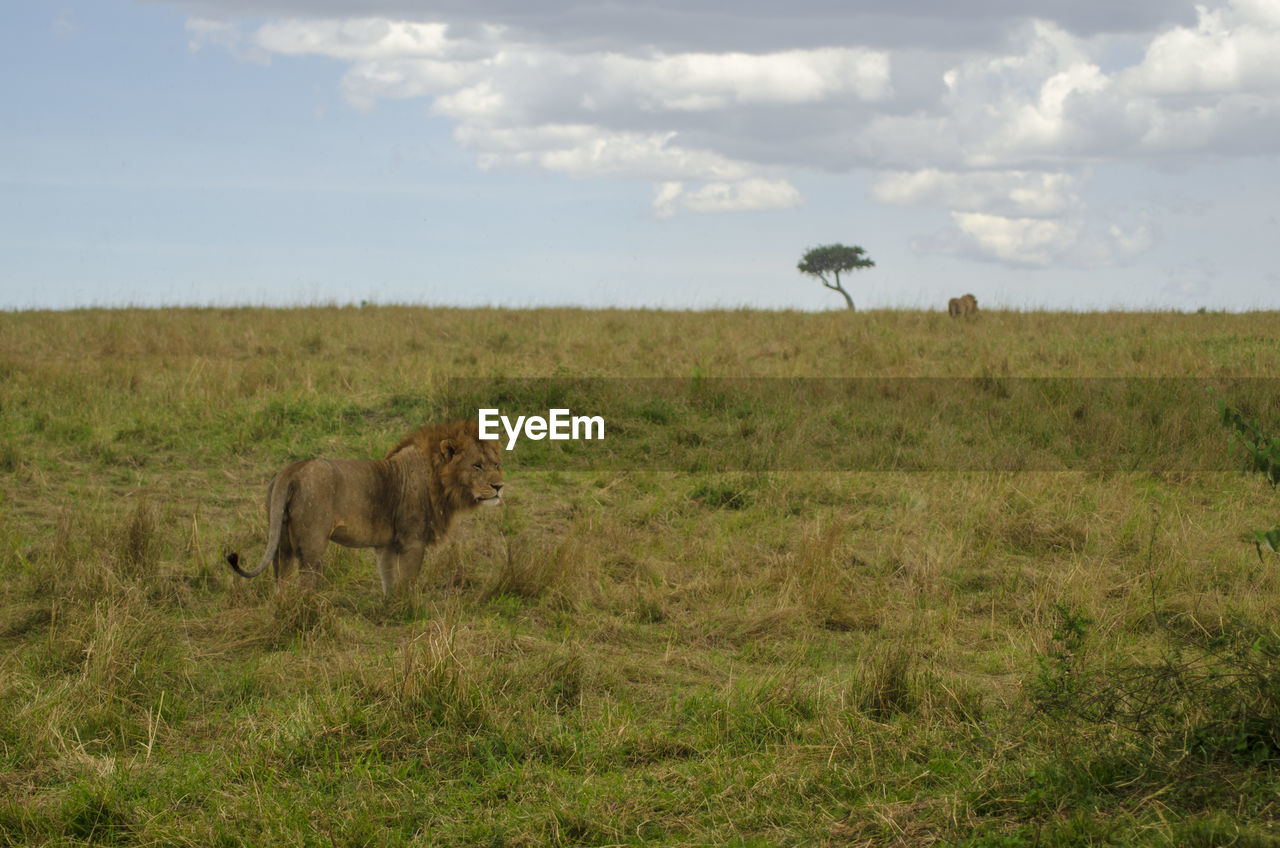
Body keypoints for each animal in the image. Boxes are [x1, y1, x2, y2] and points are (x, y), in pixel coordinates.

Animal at [225, 420, 504, 594]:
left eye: (496, 464)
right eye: (477, 466)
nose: (499, 486)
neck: (439, 480)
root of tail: (291, 470)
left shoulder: (387, 545)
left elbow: (389, 580)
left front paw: (392, 608)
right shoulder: (412, 540)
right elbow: (408, 582)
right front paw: (409, 610)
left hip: (282, 545)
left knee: (280, 582)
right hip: (312, 546)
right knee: (305, 583)